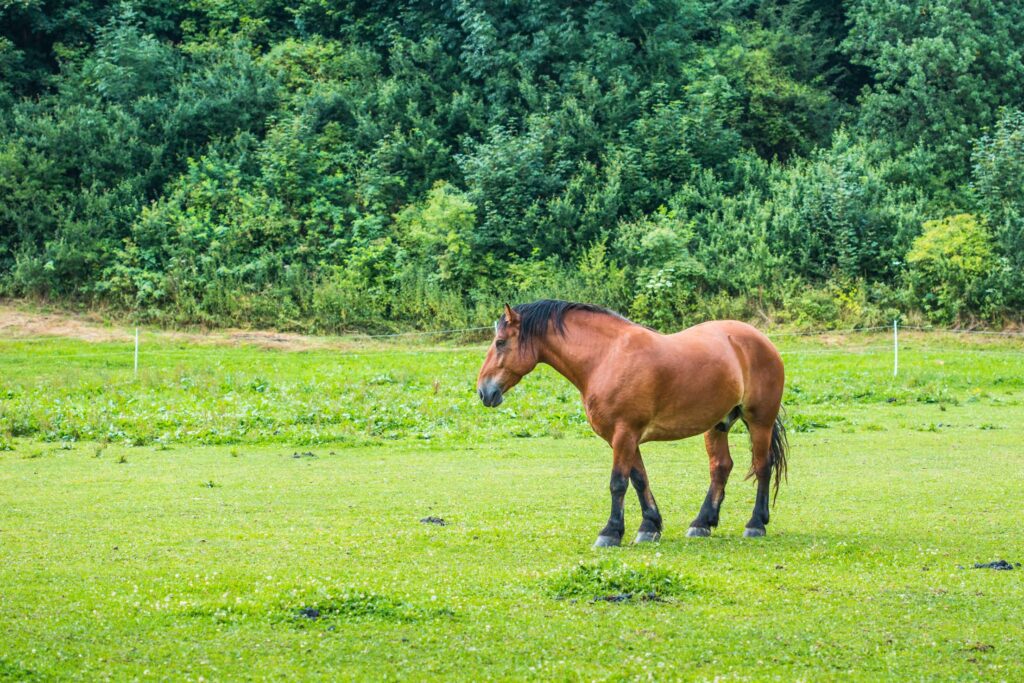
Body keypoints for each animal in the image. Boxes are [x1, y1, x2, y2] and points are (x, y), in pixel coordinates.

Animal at [475, 301, 786, 548]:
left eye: (500, 343)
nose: (484, 392)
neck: (606, 358)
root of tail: (760, 339)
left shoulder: (624, 434)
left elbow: (618, 483)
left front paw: (611, 532)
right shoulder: (624, 437)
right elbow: (639, 480)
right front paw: (649, 526)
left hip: (759, 421)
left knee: (762, 465)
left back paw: (755, 523)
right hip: (718, 425)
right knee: (720, 467)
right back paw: (702, 523)